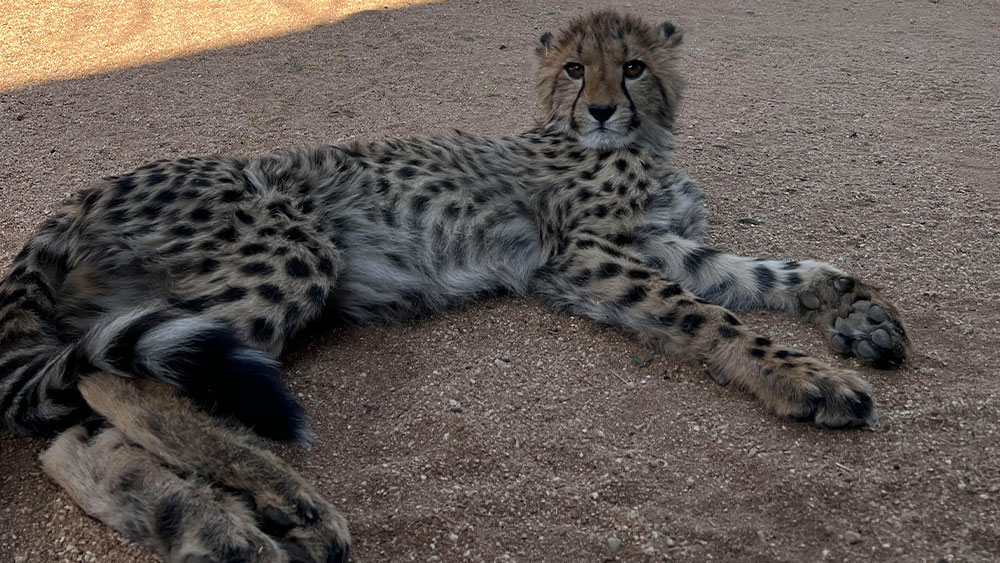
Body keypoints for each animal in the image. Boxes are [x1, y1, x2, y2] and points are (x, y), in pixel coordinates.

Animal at [0, 10, 908, 562]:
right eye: (575, 69)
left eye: (634, 67)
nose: (603, 110)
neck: (637, 144)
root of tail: (82, 193)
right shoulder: (580, 257)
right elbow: (713, 317)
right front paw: (807, 378)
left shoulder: (665, 243)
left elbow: (777, 273)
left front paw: (860, 319)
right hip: (290, 250)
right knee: (111, 385)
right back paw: (284, 502)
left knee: (76, 434)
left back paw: (215, 531)